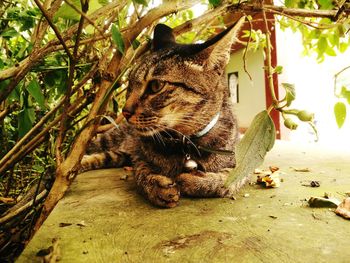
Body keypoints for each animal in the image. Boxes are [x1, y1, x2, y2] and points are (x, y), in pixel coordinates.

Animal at [80, 17, 247, 209]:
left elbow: (229, 179)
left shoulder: (245, 159)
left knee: (110, 156)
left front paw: (195, 181)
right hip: (110, 140)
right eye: (130, 84)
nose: (125, 111)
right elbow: (142, 173)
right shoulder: (140, 157)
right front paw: (158, 186)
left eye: (156, 86)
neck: (186, 143)